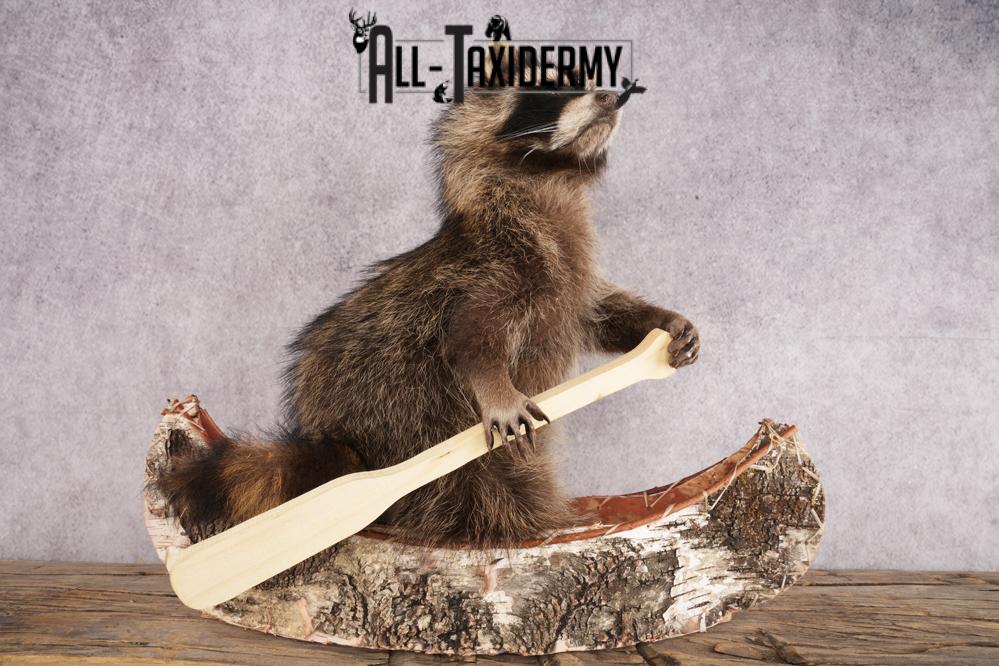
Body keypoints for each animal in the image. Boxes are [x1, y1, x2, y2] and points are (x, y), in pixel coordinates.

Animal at [156, 56, 700, 547]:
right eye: (547, 90)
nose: (611, 96)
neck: (548, 182)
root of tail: (345, 445)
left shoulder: (568, 279)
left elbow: (600, 312)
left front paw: (659, 322)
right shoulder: (491, 270)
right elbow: (470, 339)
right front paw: (496, 389)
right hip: (410, 414)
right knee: (483, 485)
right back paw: (528, 520)